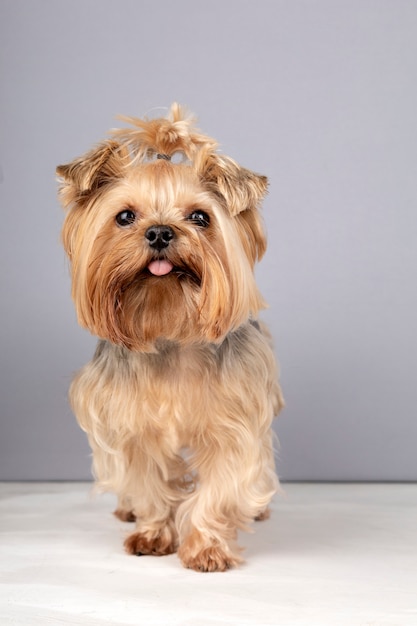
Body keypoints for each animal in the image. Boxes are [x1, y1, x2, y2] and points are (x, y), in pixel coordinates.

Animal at [57, 103, 282, 572]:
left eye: (199, 217)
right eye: (125, 216)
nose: (160, 231)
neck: (168, 329)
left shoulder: (235, 424)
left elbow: (220, 488)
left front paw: (207, 547)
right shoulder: (130, 425)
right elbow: (147, 480)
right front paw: (152, 531)